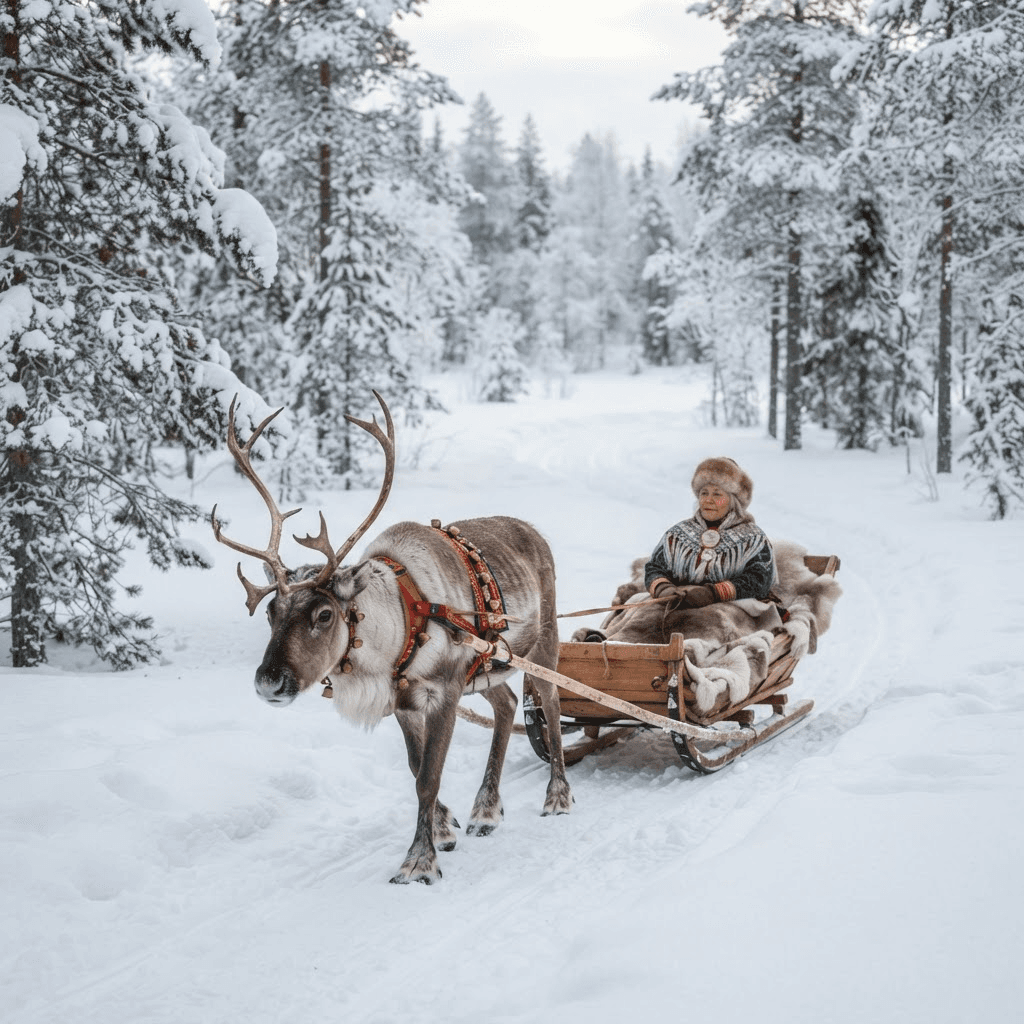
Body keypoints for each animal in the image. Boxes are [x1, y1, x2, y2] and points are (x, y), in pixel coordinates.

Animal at [211, 392, 573, 884]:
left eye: (324, 613)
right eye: (271, 611)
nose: (270, 682)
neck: (400, 624)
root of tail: (534, 531)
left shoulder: (444, 691)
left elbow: (428, 777)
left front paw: (419, 861)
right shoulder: (403, 701)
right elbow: (415, 768)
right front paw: (445, 828)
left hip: (543, 642)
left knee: (550, 705)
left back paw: (557, 797)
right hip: (488, 667)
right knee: (508, 704)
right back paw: (485, 810)